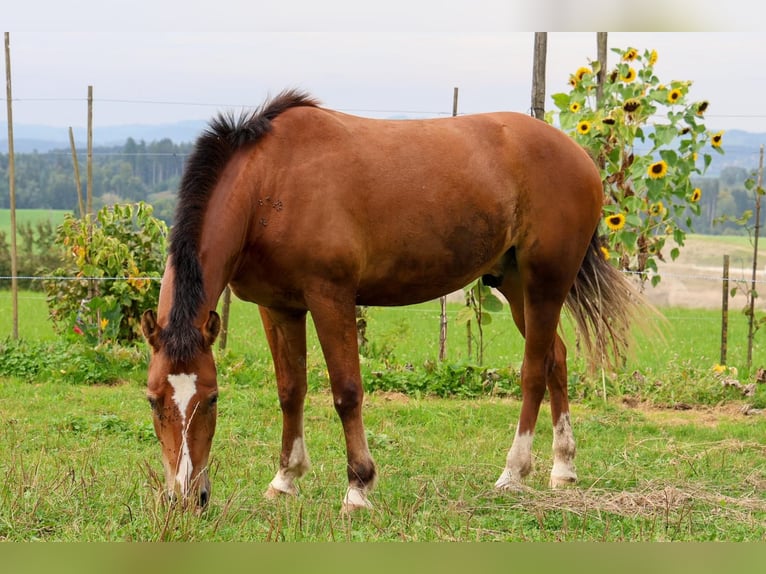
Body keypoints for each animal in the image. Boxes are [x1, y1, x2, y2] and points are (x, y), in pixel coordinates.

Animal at [141, 90, 640, 512]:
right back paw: (564, 469)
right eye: (153, 400)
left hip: (545, 282)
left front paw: (358, 487)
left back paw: (513, 474)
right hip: (516, 283)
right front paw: (285, 479)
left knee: (534, 371)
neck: (270, 184)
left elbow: (346, 392)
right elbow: (290, 391)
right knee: (556, 359)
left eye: (211, 399)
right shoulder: (278, 307)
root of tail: (579, 155)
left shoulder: (331, 297)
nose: (186, 498)